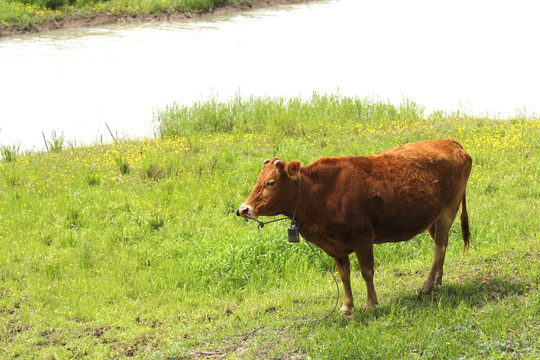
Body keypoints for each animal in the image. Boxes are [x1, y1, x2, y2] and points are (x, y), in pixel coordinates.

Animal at [238, 139, 470, 314]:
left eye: (270, 182)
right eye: (258, 179)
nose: (243, 209)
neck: (320, 193)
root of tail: (450, 142)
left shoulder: (363, 237)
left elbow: (367, 272)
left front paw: (371, 304)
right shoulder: (336, 246)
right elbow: (344, 275)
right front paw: (346, 306)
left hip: (448, 210)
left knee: (438, 248)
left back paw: (426, 287)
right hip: (434, 217)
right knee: (442, 246)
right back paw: (437, 281)